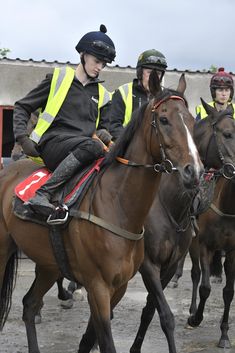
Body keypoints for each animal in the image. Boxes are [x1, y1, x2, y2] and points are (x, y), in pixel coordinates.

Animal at [0, 72, 202, 352]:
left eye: (192, 122)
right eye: (164, 120)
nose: (194, 171)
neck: (119, 205)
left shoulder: (121, 286)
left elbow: (90, 337)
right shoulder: (99, 286)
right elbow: (108, 340)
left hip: (48, 263)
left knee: (30, 304)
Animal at [129, 98, 235, 352]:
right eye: (227, 134)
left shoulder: (230, 250)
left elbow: (228, 291)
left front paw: (224, 335)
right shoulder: (198, 246)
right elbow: (202, 287)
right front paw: (194, 318)